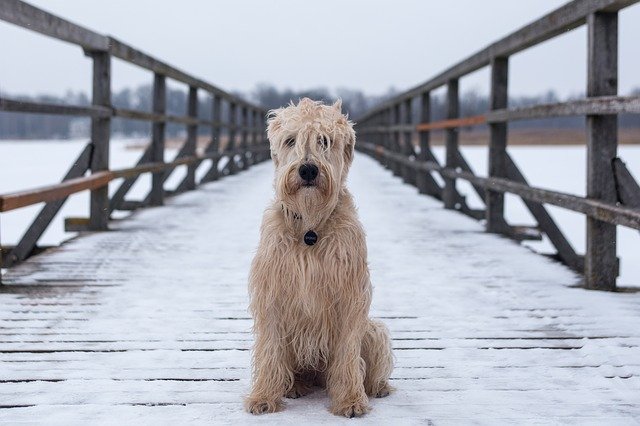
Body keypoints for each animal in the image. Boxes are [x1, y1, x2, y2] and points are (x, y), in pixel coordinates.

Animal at [245, 95, 396, 416]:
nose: (308, 170)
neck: (310, 227)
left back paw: (377, 387)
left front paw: (350, 399)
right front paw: (263, 396)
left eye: (324, 141)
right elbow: (270, 349)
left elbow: (348, 354)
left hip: (374, 329)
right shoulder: (271, 293)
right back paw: (294, 386)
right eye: (291, 140)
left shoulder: (350, 295)